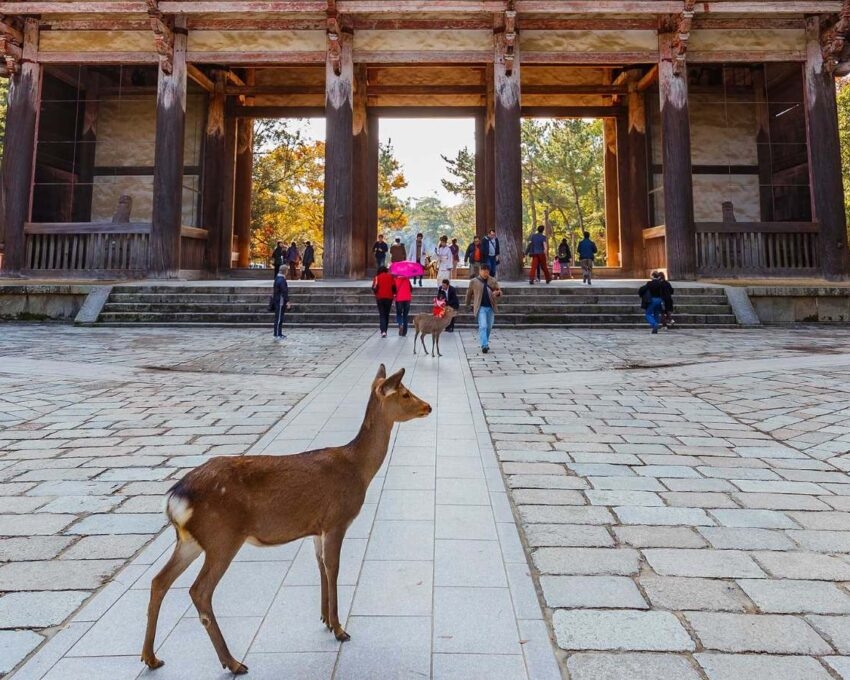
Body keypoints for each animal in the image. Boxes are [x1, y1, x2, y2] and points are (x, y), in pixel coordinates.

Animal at [141, 365, 431, 675]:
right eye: (405, 393)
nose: (428, 406)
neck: (358, 469)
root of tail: (174, 498)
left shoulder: (316, 527)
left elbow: (320, 565)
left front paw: (325, 620)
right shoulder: (337, 519)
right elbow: (334, 567)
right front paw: (340, 629)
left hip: (189, 540)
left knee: (158, 581)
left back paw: (151, 657)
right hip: (223, 537)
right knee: (199, 591)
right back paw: (233, 662)